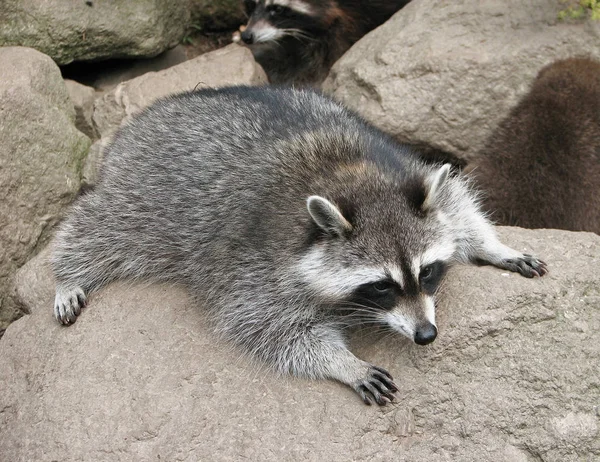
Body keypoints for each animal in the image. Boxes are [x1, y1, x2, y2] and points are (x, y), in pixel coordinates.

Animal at [52, 85, 548, 404]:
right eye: (382, 286)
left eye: (427, 272)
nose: (426, 335)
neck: (353, 178)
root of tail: (142, 120)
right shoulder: (254, 260)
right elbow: (268, 325)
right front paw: (343, 362)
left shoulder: (407, 169)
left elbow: (459, 209)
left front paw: (494, 245)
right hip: (148, 195)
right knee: (102, 224)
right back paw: (67, 271)